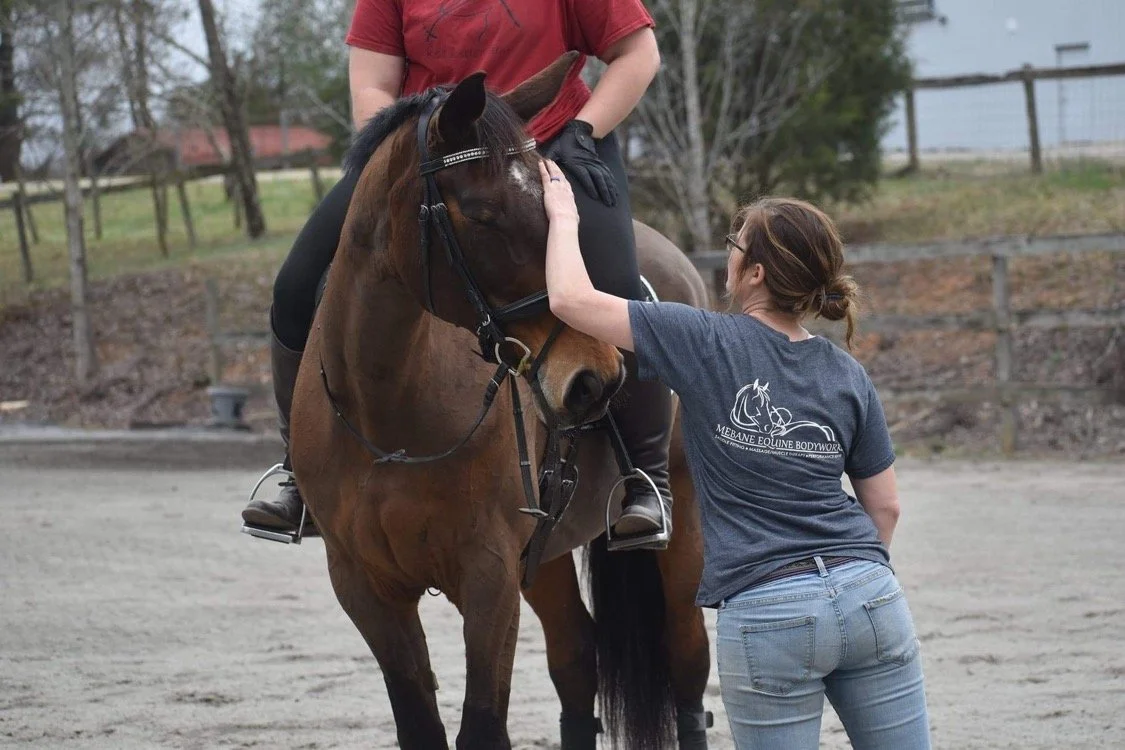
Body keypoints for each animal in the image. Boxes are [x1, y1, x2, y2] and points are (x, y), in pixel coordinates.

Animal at [289, 53, 712, 750]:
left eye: (558, 213)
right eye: (483, 214)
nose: (596, 378)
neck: (390, 409)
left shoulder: (487, 579)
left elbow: (482, 726)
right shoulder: (365, 586)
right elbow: (420, 724)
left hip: (681, 526)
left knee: (686, 664)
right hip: (543, 555)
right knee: (576, 660)